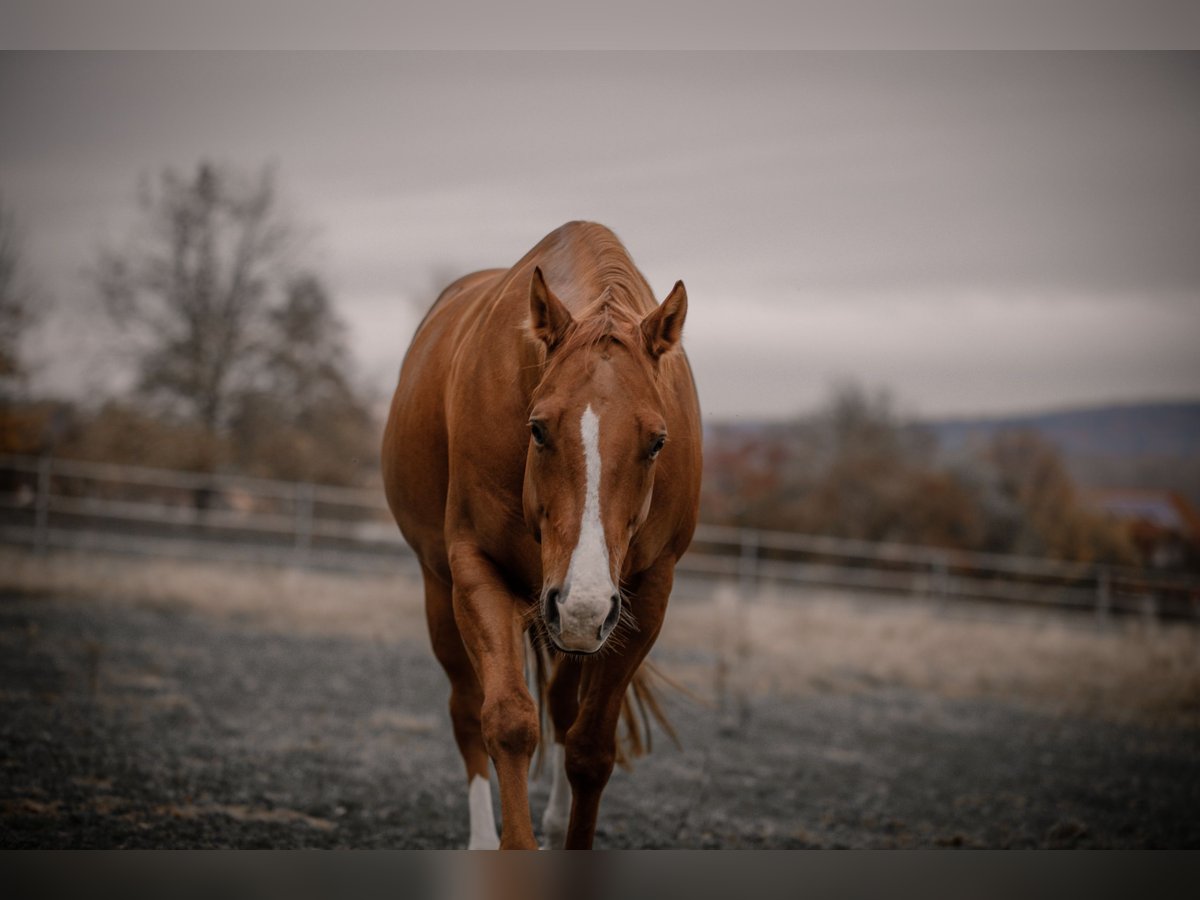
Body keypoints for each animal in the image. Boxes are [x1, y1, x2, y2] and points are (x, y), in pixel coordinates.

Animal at [384, 222, 700, 849]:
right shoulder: (478, 569)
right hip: (446, 587)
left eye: (657, 441)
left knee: (559, 707)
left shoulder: (644, 597)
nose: (581, 604)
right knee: (467, 709)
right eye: (537, 429)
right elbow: (506, 721)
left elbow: (589, 747)